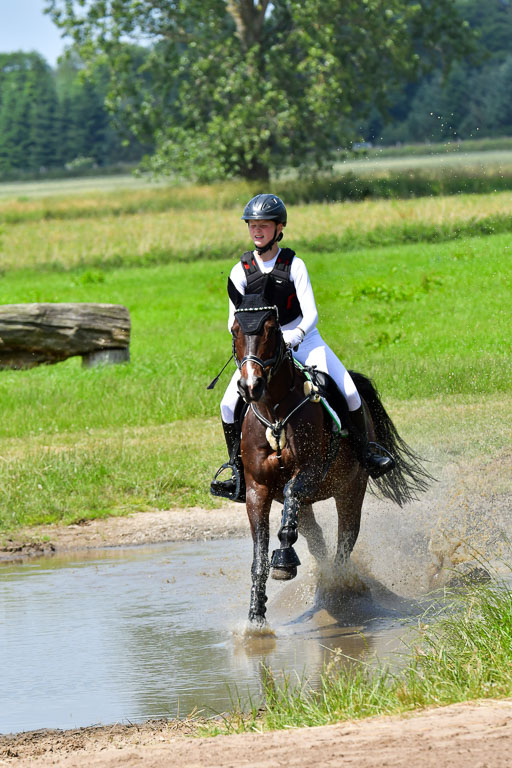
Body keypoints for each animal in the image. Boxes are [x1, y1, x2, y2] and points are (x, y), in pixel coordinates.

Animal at [227, 278, 430, 628]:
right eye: (235, 329)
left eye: (270, 328)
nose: (250, 386)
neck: (276, 413)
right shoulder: (258, 488)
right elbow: (259, 553)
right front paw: (255, 618)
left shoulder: (310, 472)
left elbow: (293, 494)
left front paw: (283, 561)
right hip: (306, 502)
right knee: (314, 537)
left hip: (351, 489)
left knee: (345, 540)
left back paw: (341, 589)